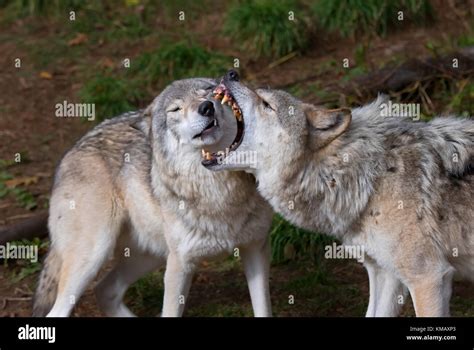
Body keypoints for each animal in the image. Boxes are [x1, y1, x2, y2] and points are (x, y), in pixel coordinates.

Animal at [33, 78, 272, 318]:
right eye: (175, 109)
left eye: (210, 92)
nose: (207, 107)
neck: (219, 189)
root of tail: (70, 153)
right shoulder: (179, 265)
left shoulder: (255, 250)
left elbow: (264, 310)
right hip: (94, 255)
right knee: (62, 309)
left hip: (151, 256)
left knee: (104, 290)